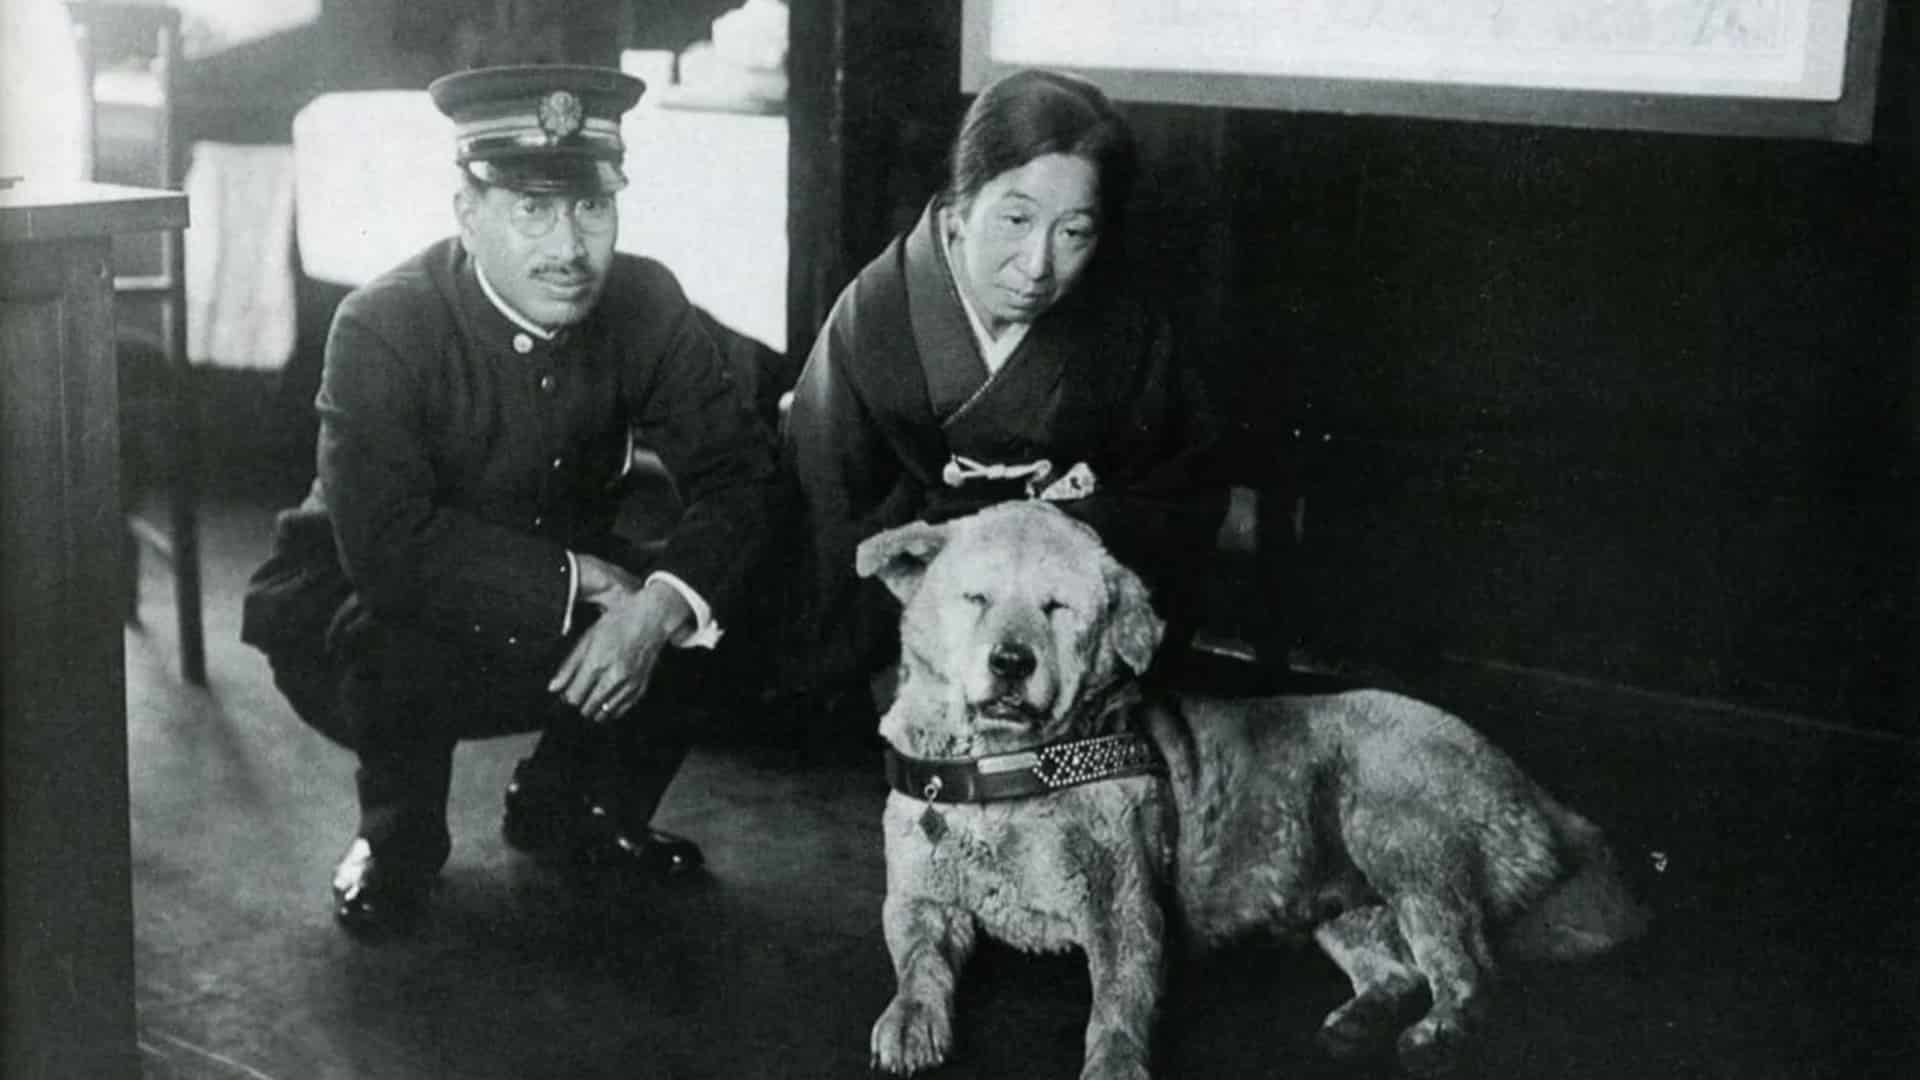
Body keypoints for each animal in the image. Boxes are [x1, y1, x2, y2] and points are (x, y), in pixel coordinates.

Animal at [860, 503, 1651, 1076]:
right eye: (975, 597)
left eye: (1058, 607)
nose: (1010, 662)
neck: (1009, 771)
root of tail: (1533, 789)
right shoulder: (919, 899)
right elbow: (918, 961)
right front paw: (910, 1018)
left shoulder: (1127, 911)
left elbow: (1117, 1001)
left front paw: (1114, 1063)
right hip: (1346, 903)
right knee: (1398, 969)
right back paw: (1361, 1020)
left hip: (1401, 831)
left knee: (1469, 968)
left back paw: (1440, 1033)